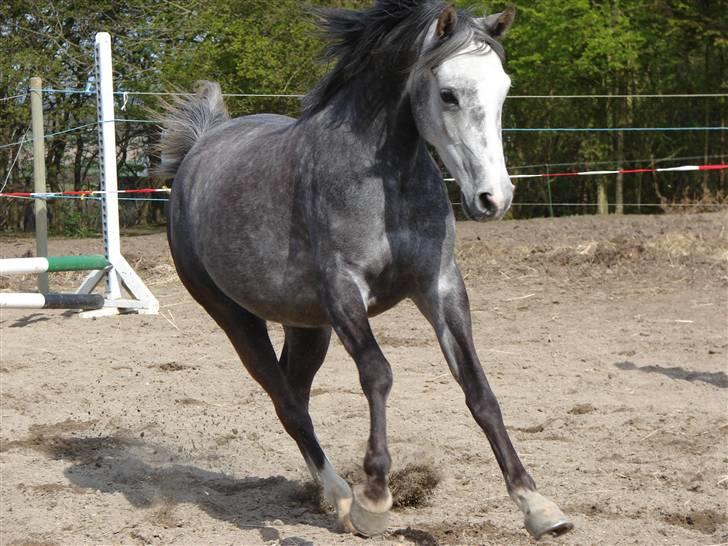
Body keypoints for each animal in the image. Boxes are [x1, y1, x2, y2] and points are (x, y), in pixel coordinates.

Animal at [159, 0, 576, 536]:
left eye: (503, 89)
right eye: (448, 94)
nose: (493, 199)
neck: (386, 183)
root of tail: (199, 148)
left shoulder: (440, 284)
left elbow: (478, 388)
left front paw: (537, 505)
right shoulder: (344, 291)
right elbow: (377, 373)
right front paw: (375, 496)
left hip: (306, 325)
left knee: (295, 393)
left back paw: (321, 492)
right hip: (234, 317)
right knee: (286, 402)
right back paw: (342, 499)